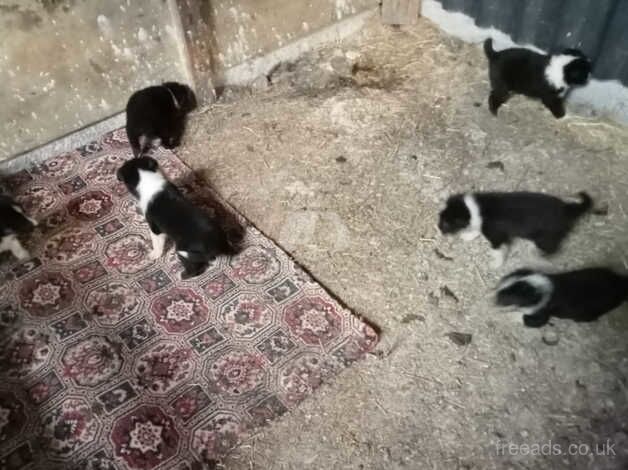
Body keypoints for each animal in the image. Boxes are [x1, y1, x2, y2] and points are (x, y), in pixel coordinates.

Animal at [436, 189, 592, 266]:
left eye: (446, 224)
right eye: (440, 218)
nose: (438, 228)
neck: (472, 210)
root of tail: (567, 209)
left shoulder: (497, 236)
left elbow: (498, 250)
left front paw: (496, 264)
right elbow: (476, 230)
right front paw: (468, 235)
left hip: (545, 237)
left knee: (553, 249)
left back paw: (537, 254)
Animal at [496, 266, 628, 328]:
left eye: (508, 297)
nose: (495, 298)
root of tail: (621, 284)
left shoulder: (543, 313)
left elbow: (527, 318)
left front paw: (504, 316)